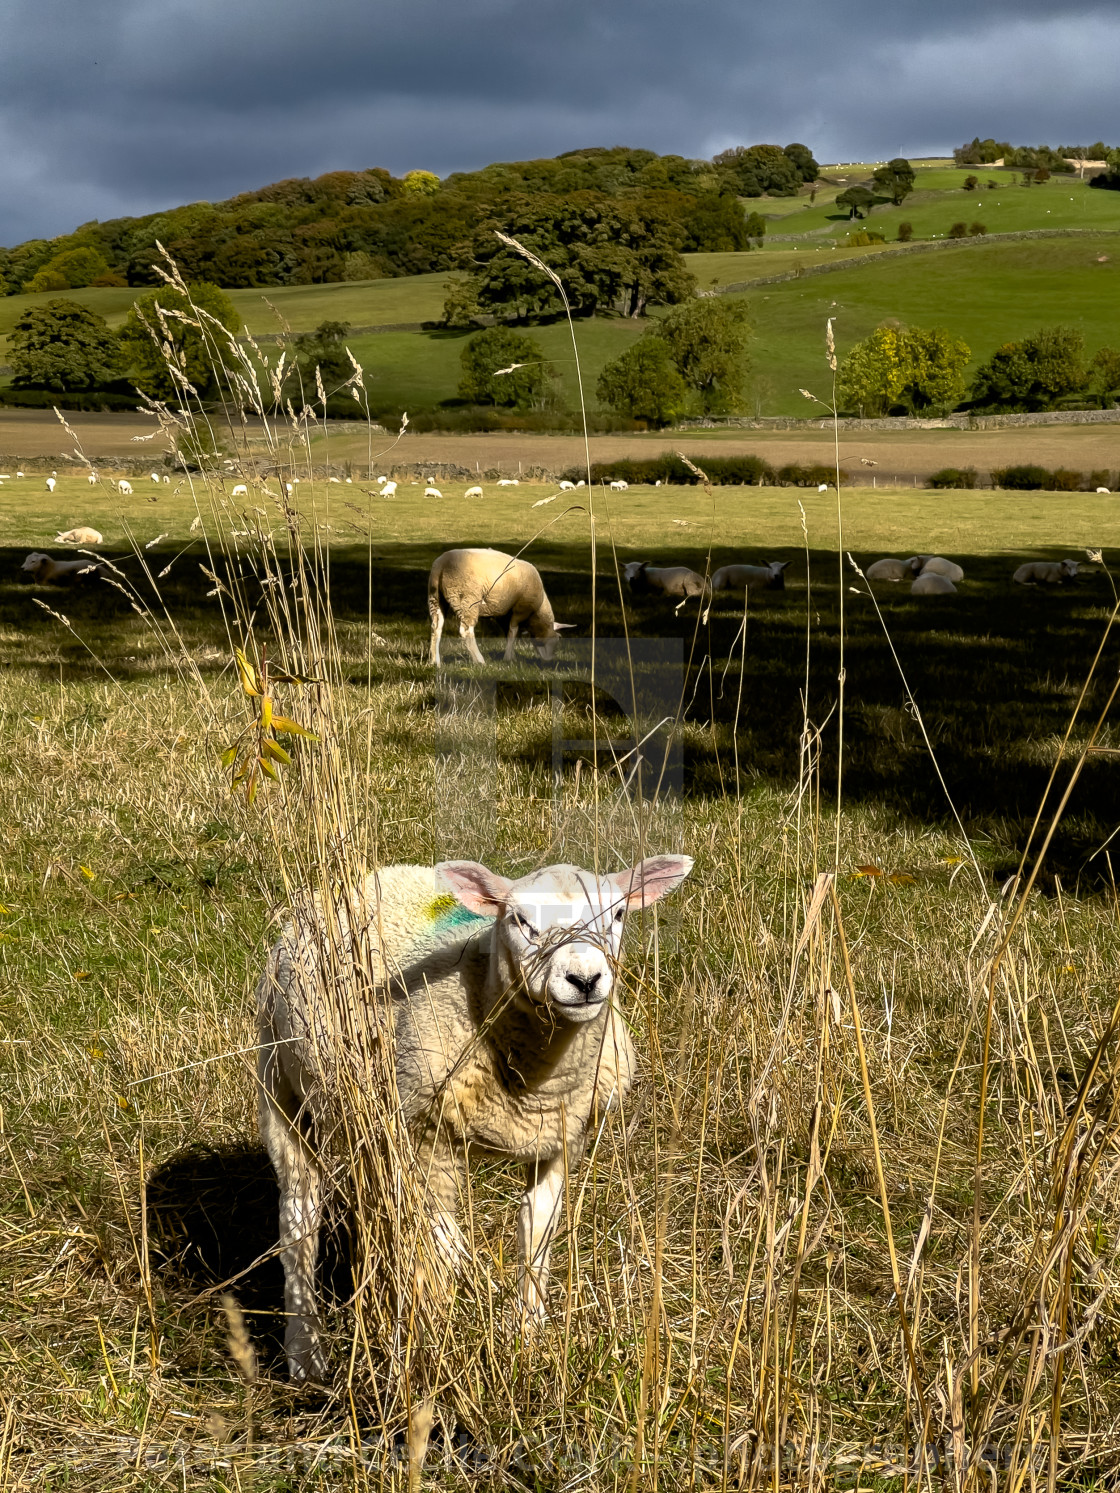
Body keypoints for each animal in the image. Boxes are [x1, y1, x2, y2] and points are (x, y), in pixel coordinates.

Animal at [259, 853, 698, 1373]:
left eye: (618, 914)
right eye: (520, 920)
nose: (585, 980)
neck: (535, 1081)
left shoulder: (561, 1138)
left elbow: (535, 1233)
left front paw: (526, 1333)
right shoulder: (425, 1137)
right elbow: (441, 1237)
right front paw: (452, 1311)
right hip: (281, 1088)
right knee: (299, 1221)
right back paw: (306, 1350)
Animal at [427, 549, 573, 665]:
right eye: (558, 639)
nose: (549, 661)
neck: (537, 613)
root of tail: (442, 565)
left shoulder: (502, 614)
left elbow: (507, 633)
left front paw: (511, 655)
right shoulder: (520, 609)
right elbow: (513, 631)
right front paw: (508, 659)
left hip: (435, 599)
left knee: (436, 627)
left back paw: (435, 661)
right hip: (467, 599)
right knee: (466, 630)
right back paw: (479, 660)